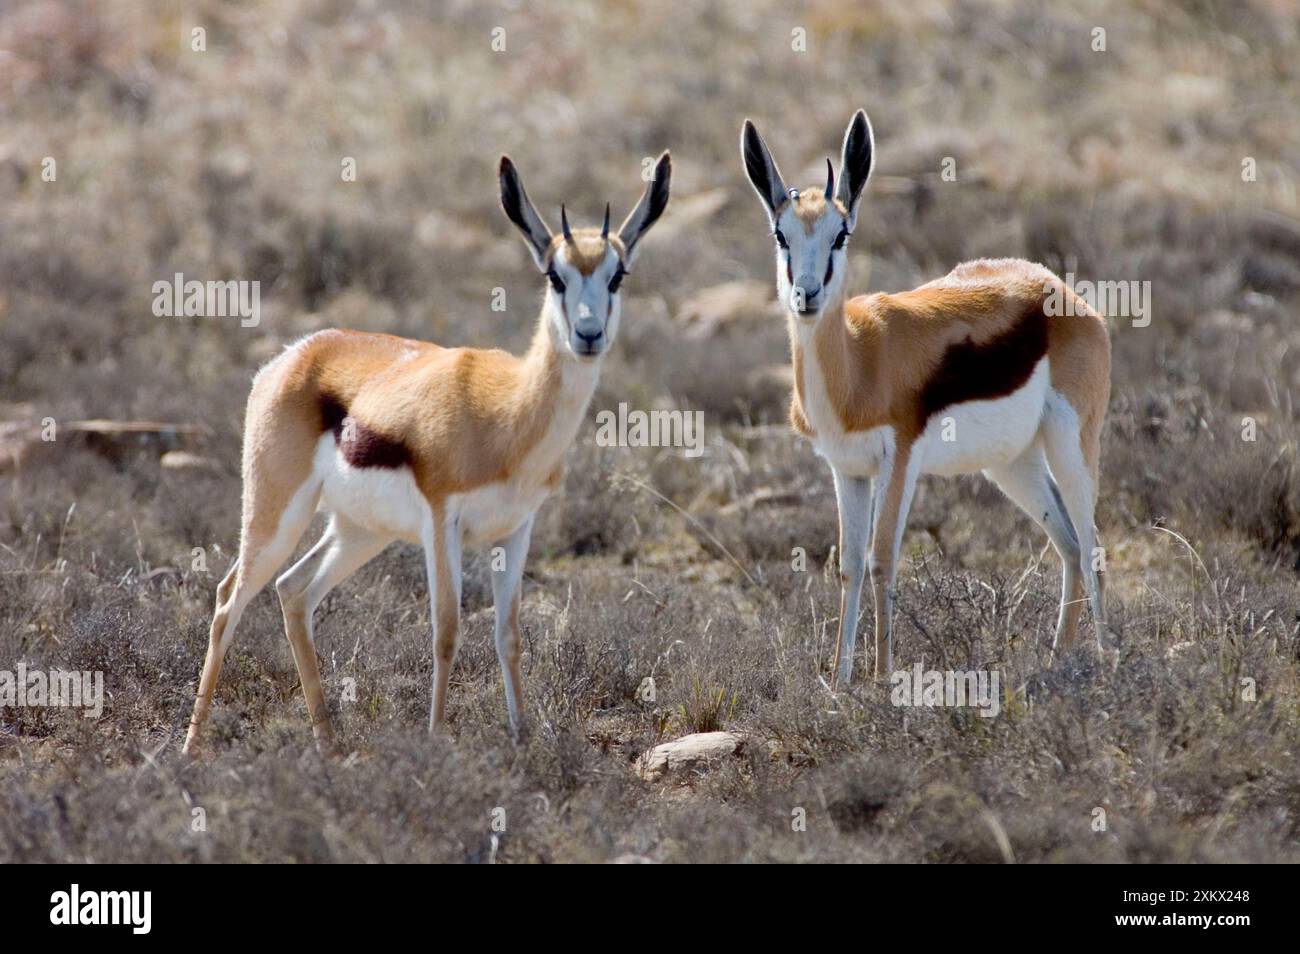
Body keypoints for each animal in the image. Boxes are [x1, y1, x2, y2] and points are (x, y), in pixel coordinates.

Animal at [183, 155, 670, 753]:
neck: (507, 414)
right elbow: (446, 631)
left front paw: (523, 740)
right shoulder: (443, 522)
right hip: (276, 515)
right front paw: (437, 742)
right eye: (555, 276)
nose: (588, 334)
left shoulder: (517, 529)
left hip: (359, 531)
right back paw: (191, 749)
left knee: (293, 591)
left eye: (616, 276)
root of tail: (292, 357)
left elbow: (508, 634)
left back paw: (330, 745)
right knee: (229, 599)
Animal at [743, 110, 1107, 686]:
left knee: (1093, 550)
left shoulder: (900, 461)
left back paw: (1110, 663)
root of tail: (1058, 290)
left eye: (841, 234)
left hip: (1073, 444)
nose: (807, 295)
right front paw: (839, 685)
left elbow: (882, 561)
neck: (858, 362)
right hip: (1013, 465)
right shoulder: (847, 469)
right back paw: (1058, 664)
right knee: (1070, 546)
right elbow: (848, 566)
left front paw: (881, 679)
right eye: (782, 234)